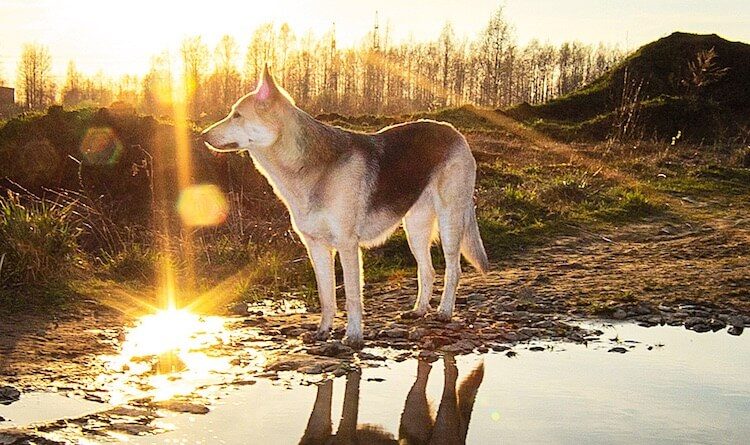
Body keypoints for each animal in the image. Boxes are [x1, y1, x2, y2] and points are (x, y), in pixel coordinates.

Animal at [203, 67, 490, 350]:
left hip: (450, 222)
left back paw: (444, 311)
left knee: (453, 269)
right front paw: (323, 331)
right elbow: (326, 294)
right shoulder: (316, 246)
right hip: (415, 229)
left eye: (237, 115)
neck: (304, 166)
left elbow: (352, 295)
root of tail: (454, 132)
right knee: (427, 270)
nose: (202, 135)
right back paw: (419, 311)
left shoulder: (347, 244)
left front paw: (353, 336)